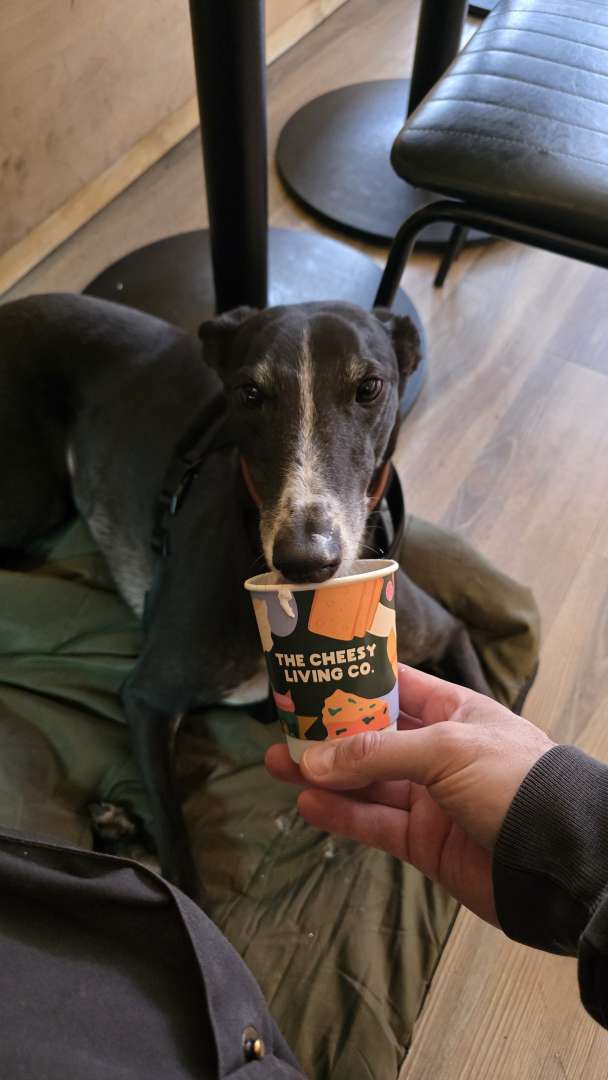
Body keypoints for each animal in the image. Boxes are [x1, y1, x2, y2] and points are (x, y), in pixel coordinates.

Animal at [0, 293, 489, 901]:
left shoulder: (446, 631)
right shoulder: (148, 696)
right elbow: (183, 878)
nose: (306, 561)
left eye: (370, 387)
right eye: (249, 394)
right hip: (29, 499)